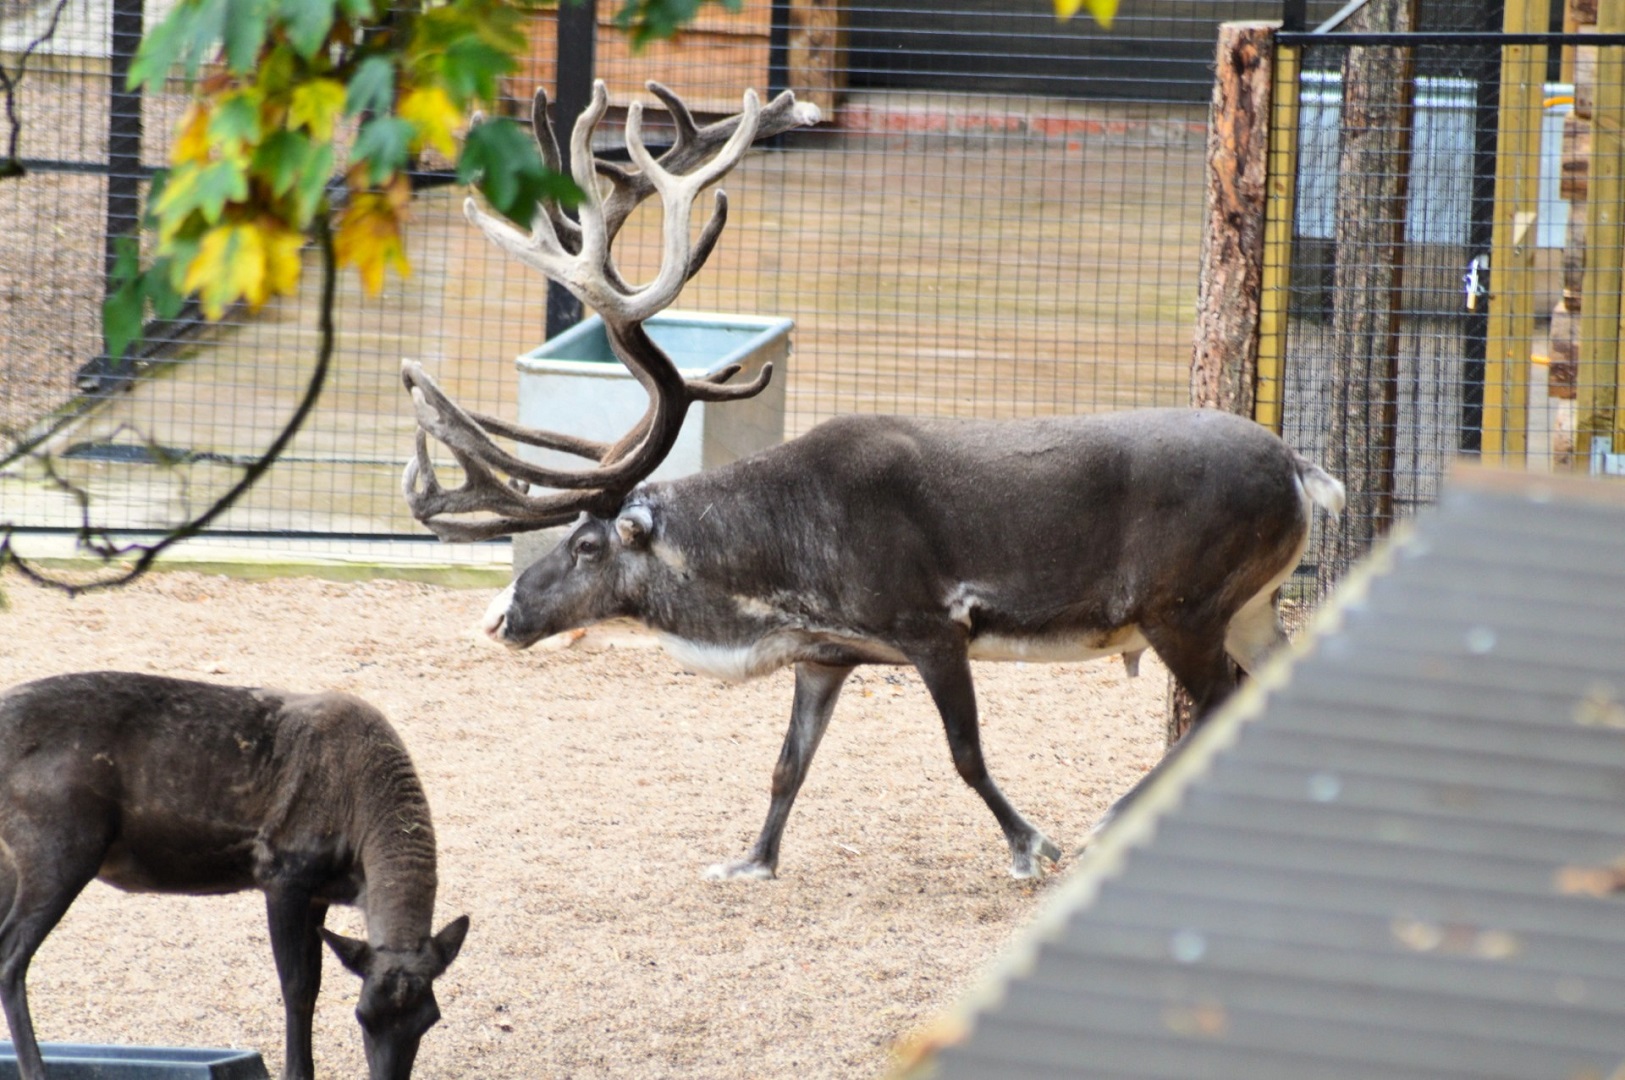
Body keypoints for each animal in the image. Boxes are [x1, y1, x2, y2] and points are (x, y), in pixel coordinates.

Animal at [0, 671, 469, 1080]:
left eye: (431, 1018)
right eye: (362, 1015)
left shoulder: (319, 893)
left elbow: (314, 983)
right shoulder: (283, 873)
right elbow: (297, 986)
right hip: (58, 849)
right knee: (11, 955)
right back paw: (36, 1070)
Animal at [400, 80, 1346, 882]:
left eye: (588, 543)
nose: (500, 615)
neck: (770, 568)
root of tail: (1300, 468)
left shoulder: (933, 627)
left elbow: (964, 754)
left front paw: (1029, 844)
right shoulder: (826, 654)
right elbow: (787, 765)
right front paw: (751, 862)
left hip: (1180, 608)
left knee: (1220, 700)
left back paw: (1117, 818)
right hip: (1249, 606)